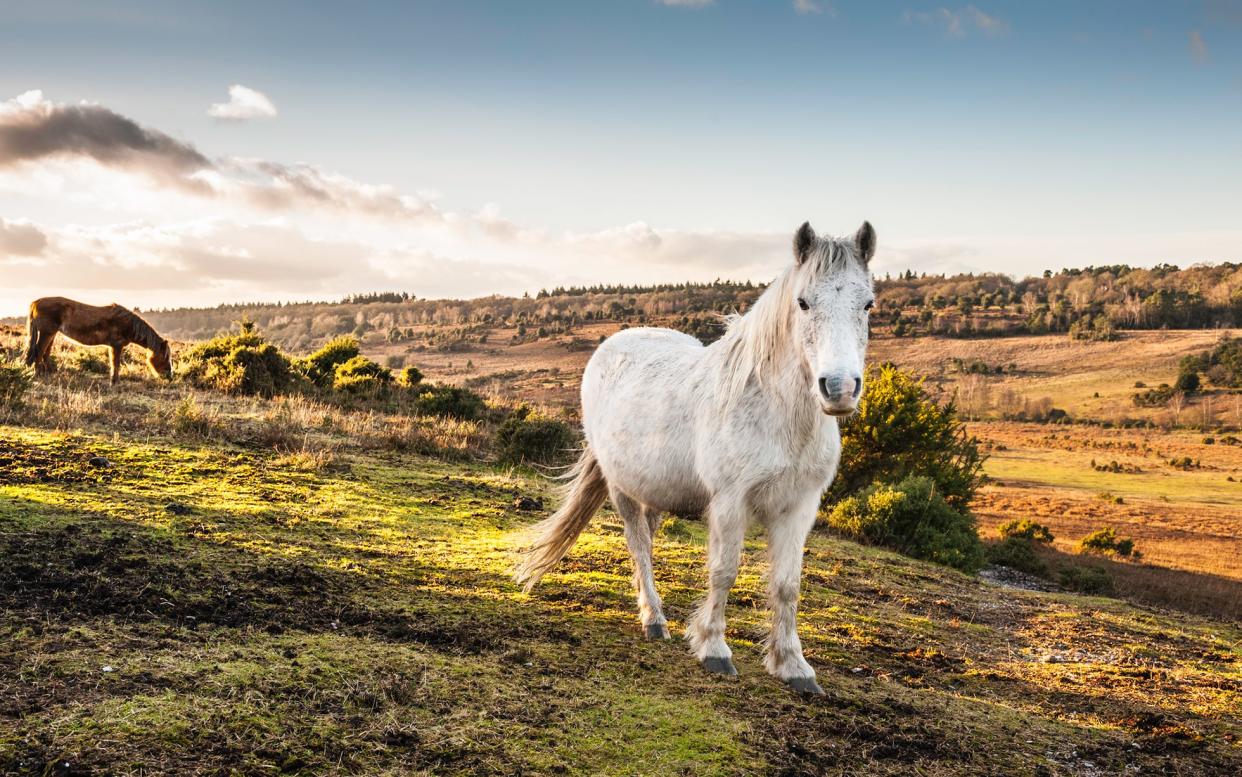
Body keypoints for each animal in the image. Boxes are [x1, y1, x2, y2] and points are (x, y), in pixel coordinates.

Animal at [27, 295, 173, 382]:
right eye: (165, 357)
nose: (170, 376)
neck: (128, 324)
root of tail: (36, 302)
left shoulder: (114, 346)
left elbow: (114, 364)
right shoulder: (116, 346)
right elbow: (116, 364)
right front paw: (114, 381)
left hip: (51, 334)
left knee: (45, 353)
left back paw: (50, 374)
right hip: (46, 333)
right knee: (39, 353)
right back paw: (37, 374)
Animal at [519, 220, 879, 695]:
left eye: (868, 304)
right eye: (803, 302)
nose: (839, 389)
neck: (778, 413)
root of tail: (616, 342)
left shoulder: (800, 507)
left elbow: (787, 585)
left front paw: (794, 666)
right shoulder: (730, 502)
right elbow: (723, 571)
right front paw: (713, 648)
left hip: (653, 490)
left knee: (647, 540)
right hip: (621, 489)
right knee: (638, 545)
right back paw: (654, 620)